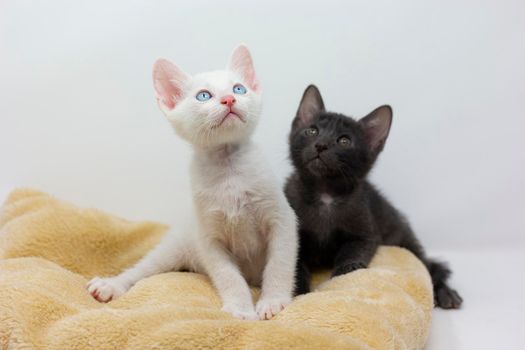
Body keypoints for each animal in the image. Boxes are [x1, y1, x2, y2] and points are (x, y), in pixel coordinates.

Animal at [88, 45, 296, 322]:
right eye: (203, 95)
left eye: (239, 88)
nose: (229, 99)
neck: (229, 169)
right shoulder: (208, 237)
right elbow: (229, 277)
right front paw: (240, 309)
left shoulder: (282, 220)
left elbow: (279, 264)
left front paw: (272, 302)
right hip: (175, 247)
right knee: (143, 269)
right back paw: (111, 285)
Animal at [284, 85, 460, 308]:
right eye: (312, 131)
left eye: (344, 141)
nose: (321, 145)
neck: (325, 194)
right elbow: (294, 266)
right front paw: (298, 293)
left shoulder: (365, 232)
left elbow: (352, 253)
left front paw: (344, 275)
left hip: (403, 235)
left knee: (428, 266)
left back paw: (445, 292)